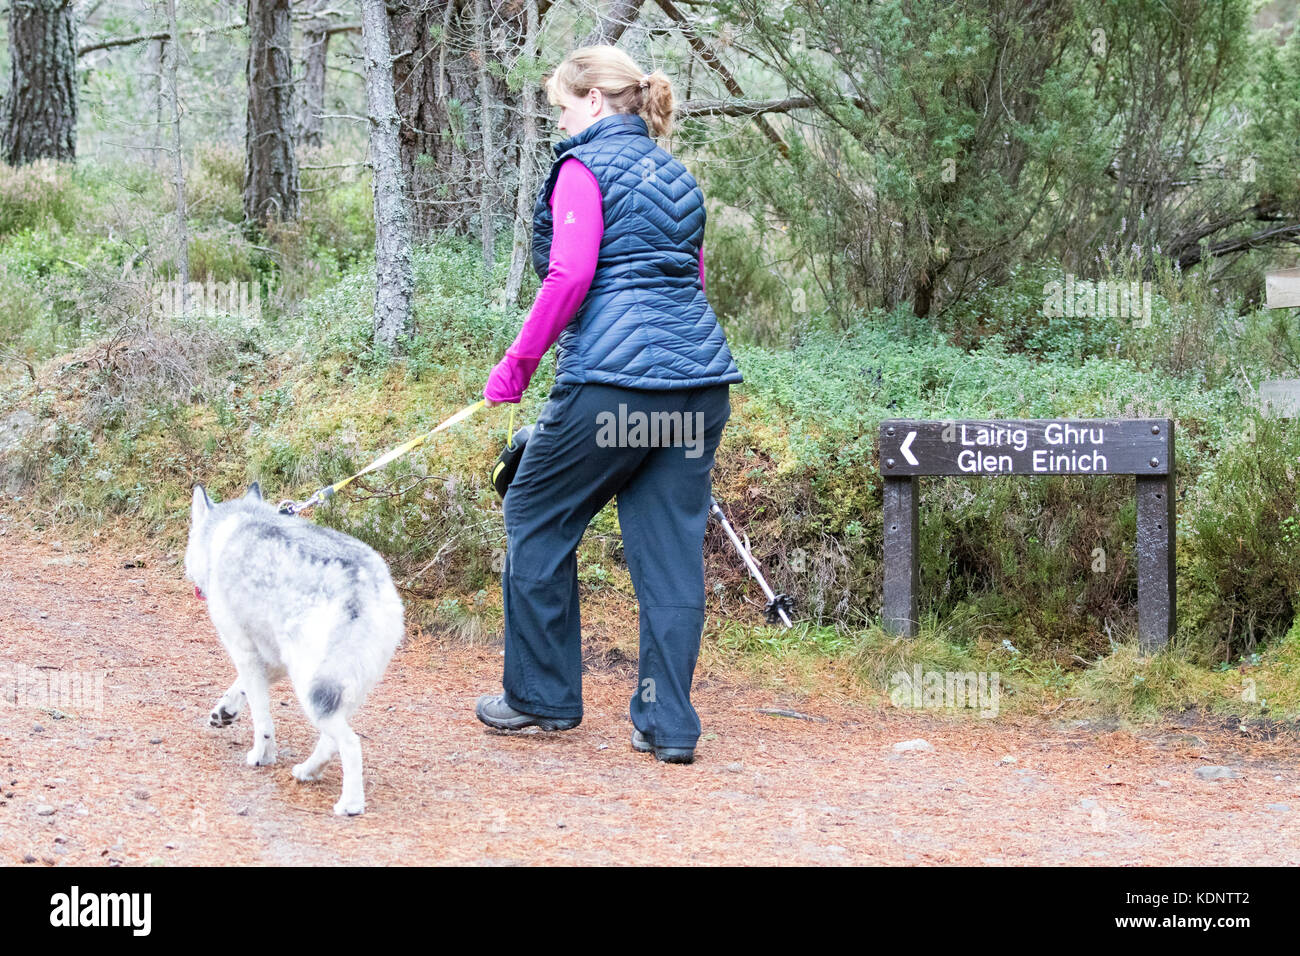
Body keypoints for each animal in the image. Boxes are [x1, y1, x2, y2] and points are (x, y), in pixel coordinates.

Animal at [183, 481, 403, 816]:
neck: (230, 526)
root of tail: (359, 585)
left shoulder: (245, 651)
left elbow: (262, 719)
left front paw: (261, 756)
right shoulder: (272, 658)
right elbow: (240, 689)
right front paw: (224, 712)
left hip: (311, 687)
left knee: (349, 743)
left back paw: (350, 804)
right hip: (337, 686)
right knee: (330, 741)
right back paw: (307, 772)